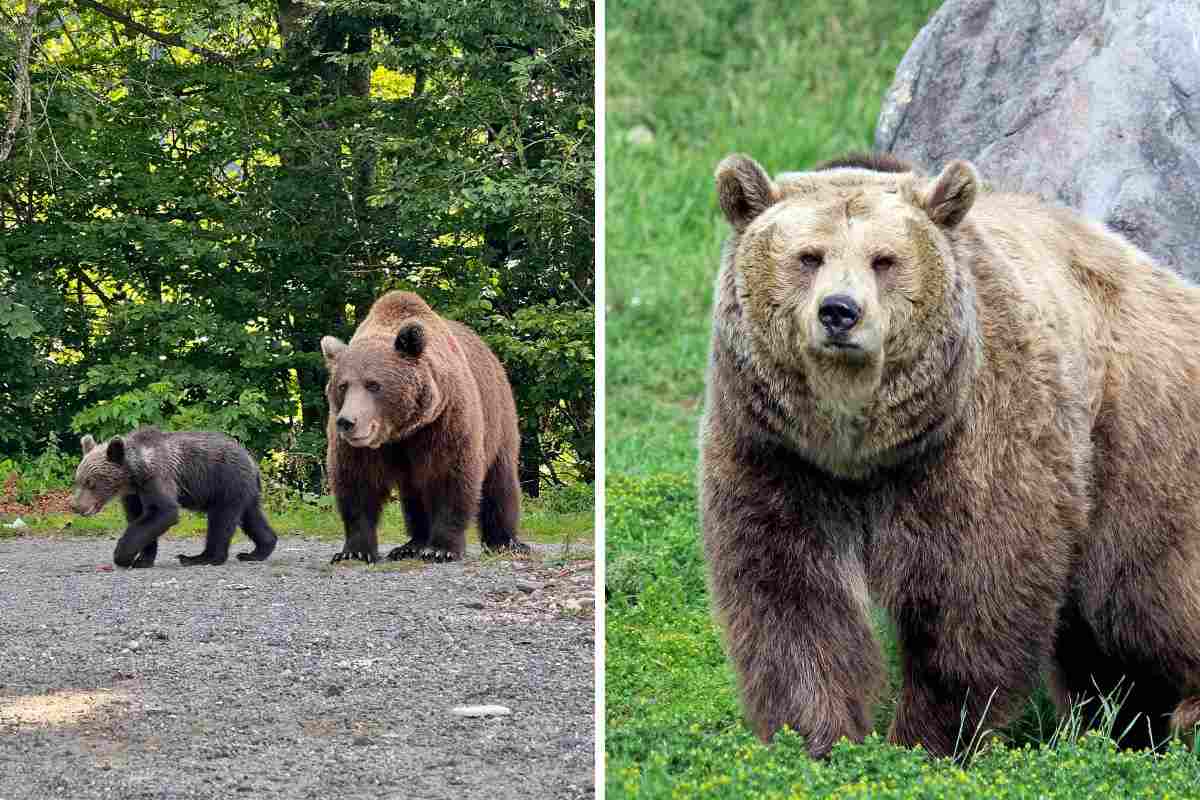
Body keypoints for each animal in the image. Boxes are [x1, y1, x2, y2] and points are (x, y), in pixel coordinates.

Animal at [70, 427, 277, 568]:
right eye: (78, 480)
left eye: (91, 483)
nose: (77, 506)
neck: (133, 475)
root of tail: (251, 460)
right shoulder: (133, 494)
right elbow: (139, 519)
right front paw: (143, 559)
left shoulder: (157, 477)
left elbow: (163, 512)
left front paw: (123, 556)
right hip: (244, 489)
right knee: (251, 516)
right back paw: (256, 552)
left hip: (226, 482)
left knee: (221, 520)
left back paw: (200, 558)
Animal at [320, 290, 527, 564]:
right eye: (343, 385)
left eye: (373, 384)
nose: (347, 422)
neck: (401, 431)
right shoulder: (362, 448)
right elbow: (356, 484)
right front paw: (354, 551)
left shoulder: (445, 422)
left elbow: (450, 477)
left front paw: (442, 549)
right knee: (414, 495)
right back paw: (411, 545)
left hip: (499, 417)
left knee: (500, 482)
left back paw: (506, 542)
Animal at [700, 150, 1200, 758]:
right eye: (808, 256)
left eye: (884, 260)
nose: (839, 312)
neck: (860, 450)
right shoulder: (777, 454)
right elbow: (792, 596)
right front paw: (818, 738)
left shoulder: (974, 438)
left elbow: (973, 591)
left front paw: (929, 738)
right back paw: (1119, 724)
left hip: (1138, 436)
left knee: (1150, 595)